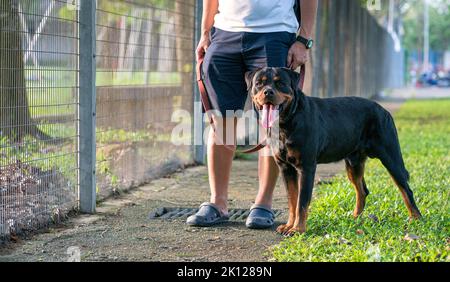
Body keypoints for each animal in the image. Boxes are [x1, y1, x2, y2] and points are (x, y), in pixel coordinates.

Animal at [246, 66, 422, 236]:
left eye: (280, 83)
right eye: (259, 83)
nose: (268, 92)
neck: (286, 123)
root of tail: (383, 110)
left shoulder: (306, 167)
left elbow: (302, 201)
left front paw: (298, 229)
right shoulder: (286, 168)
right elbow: (292, 200)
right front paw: (289, 225)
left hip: (390, 156)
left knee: (406, 189)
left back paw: (416, 218)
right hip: (353, 163)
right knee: (362, 190)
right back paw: (355, 218)